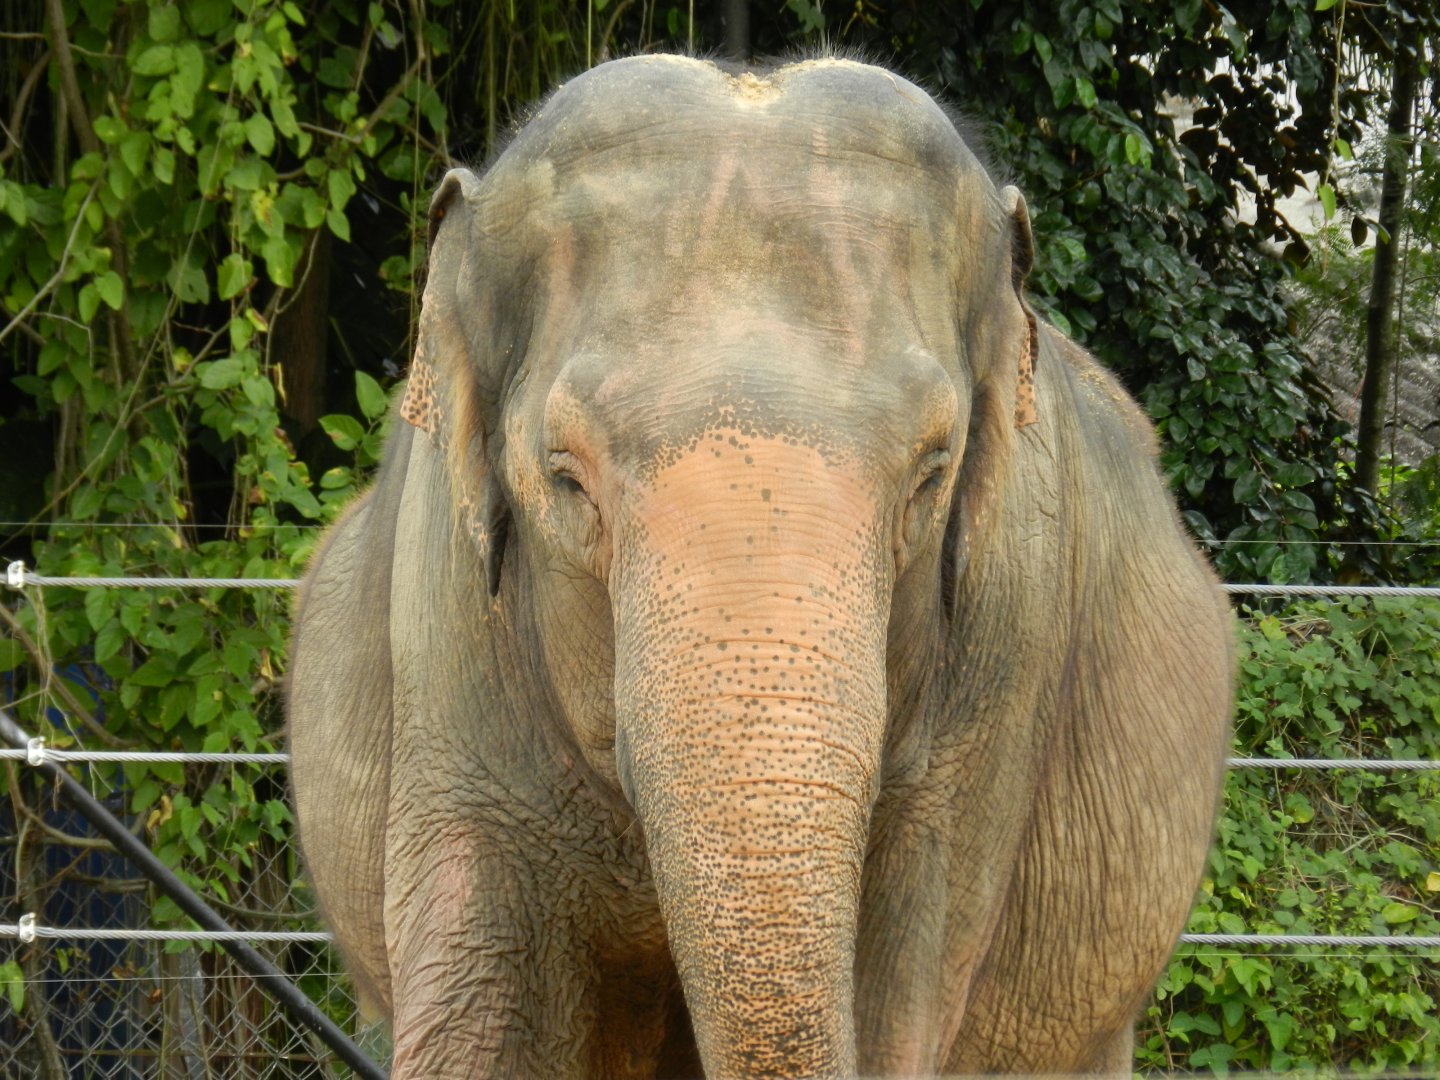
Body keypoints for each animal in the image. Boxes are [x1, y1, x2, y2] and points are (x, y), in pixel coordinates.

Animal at [287, 54, 1233, 1080]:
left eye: (931, 472)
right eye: (565, 476)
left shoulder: (1003, 654)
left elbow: (897, 996)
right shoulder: (449, 634)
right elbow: (488, 1019)